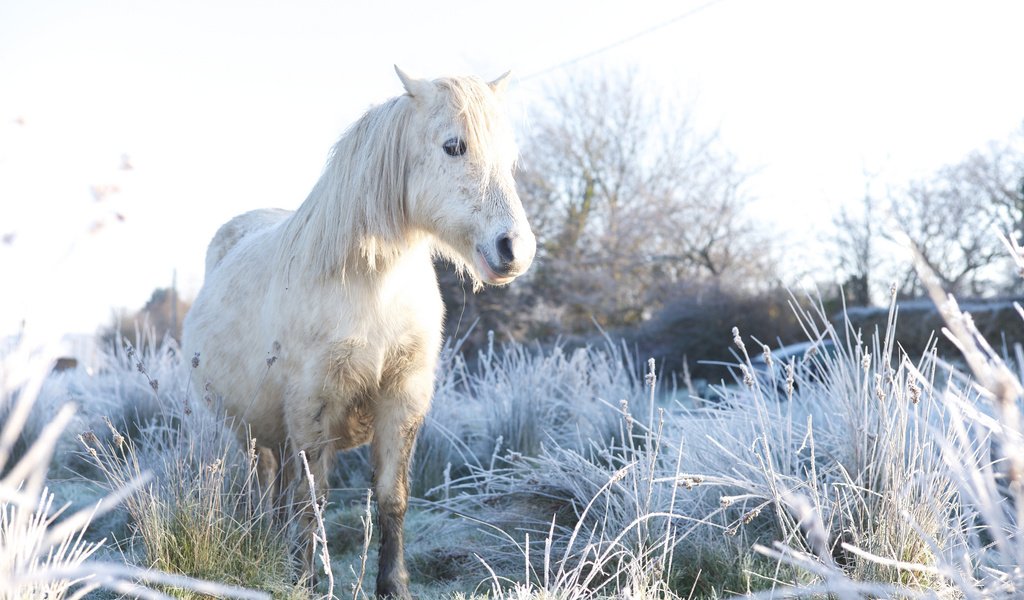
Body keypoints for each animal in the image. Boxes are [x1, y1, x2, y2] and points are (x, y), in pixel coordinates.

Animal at [182, 67, 536, 593]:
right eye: (454, 146)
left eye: (509, 157)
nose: (515, 249)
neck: (373, 287)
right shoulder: (313, 406)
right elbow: (313, 502)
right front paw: (306, 582)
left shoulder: (402, 399)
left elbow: (391, 496)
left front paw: (393, 585)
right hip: (250, 432)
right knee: (263, 486)